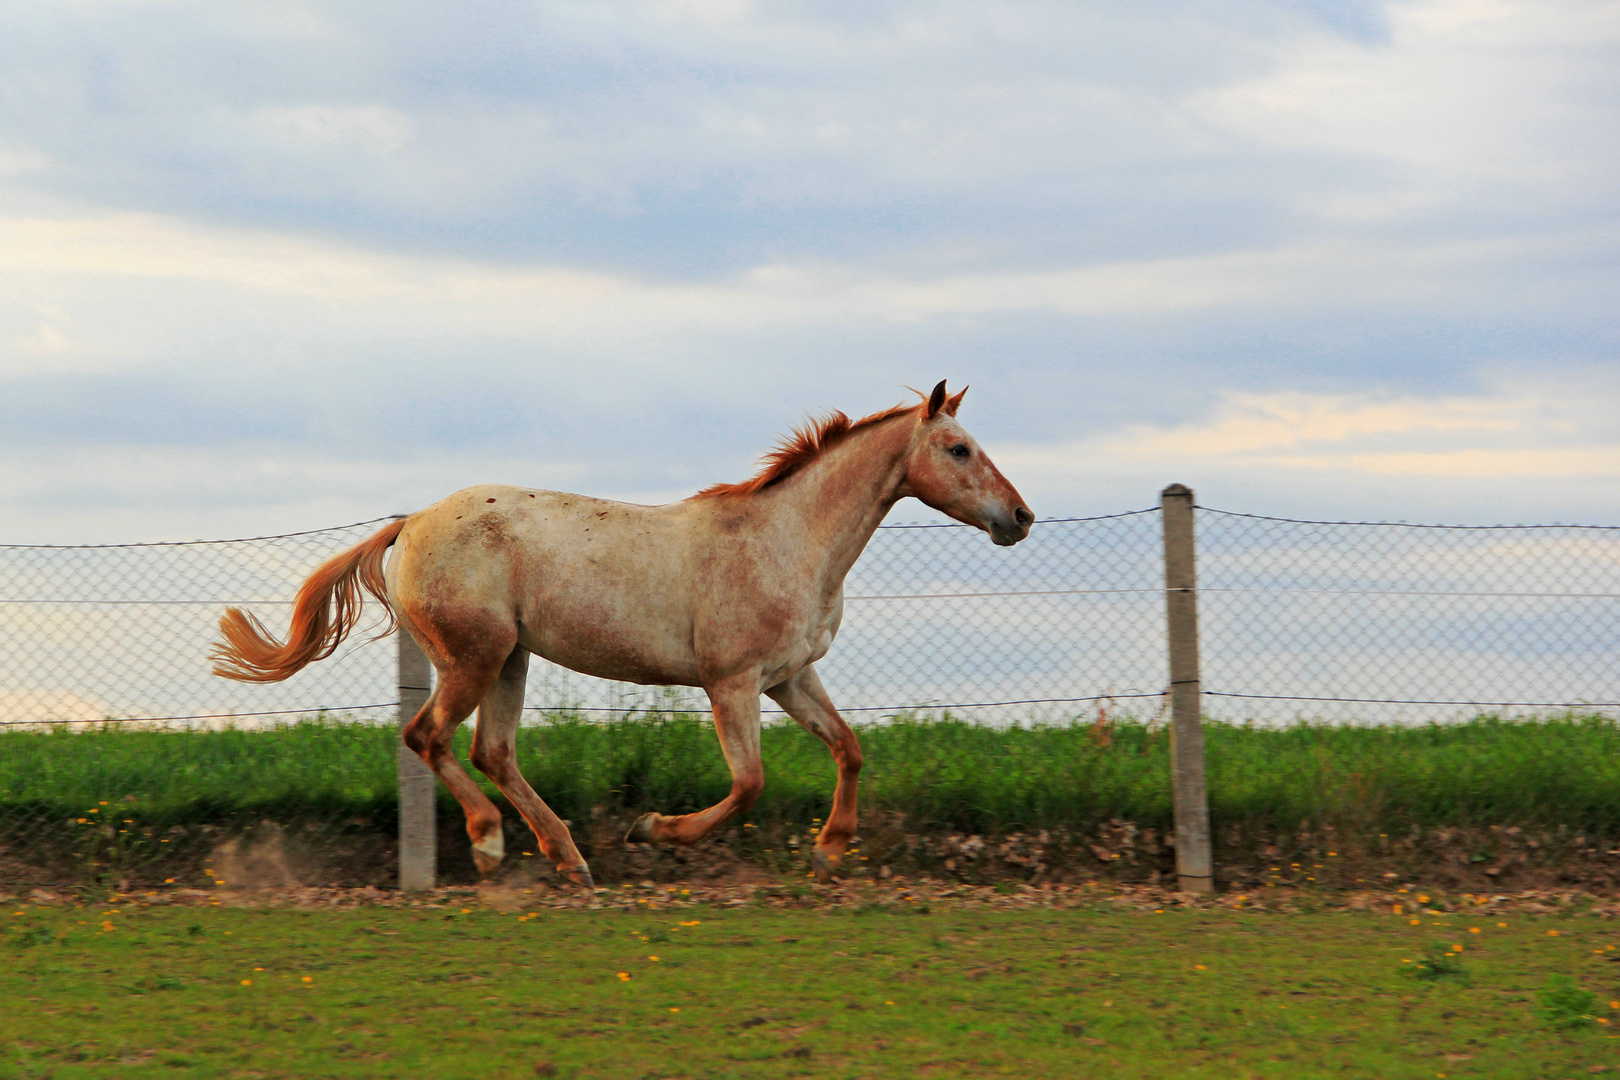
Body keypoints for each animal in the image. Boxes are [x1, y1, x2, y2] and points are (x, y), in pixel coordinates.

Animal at [215, 380, 1030, 887]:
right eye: (959, 449)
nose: (1019, 517)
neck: (786, 541)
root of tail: (410, 523)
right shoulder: (732, 683)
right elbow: (748, 784)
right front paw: (652, 832)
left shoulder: (791, 677)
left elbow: (850, 748)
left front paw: (830, 852)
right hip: (474, 658)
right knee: (429, 736)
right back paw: (490, 843)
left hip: (510, 659)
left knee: (491, 750)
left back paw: (568, 858)